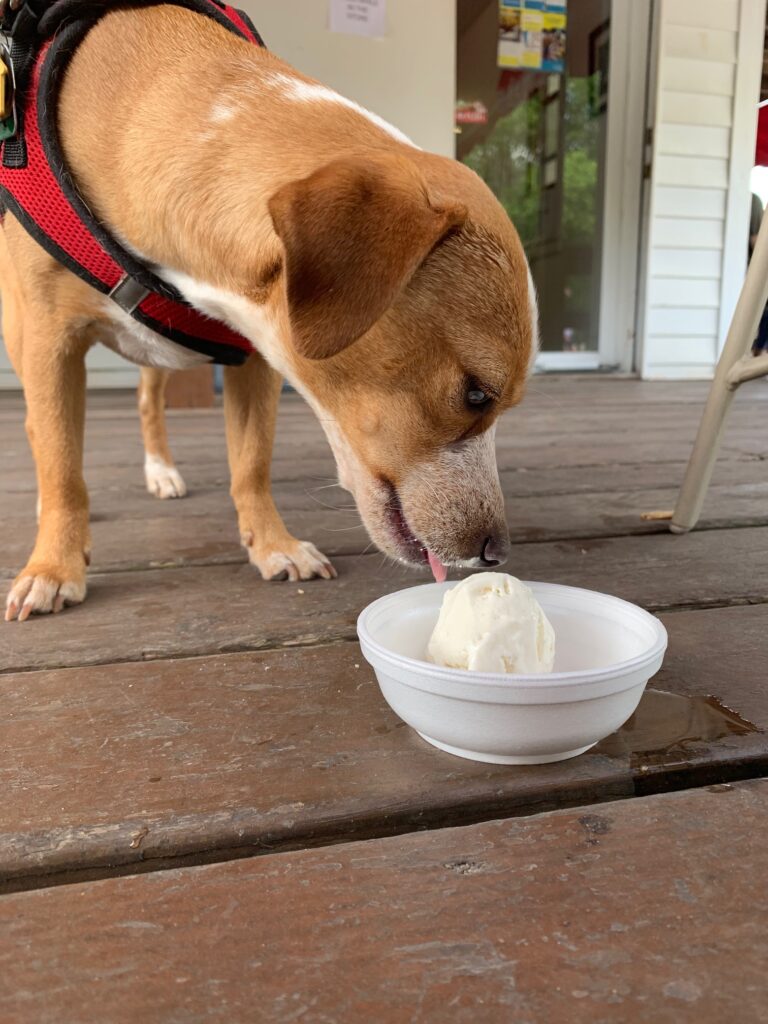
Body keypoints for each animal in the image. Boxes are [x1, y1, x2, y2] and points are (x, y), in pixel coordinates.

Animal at [3, 2, 536, 622]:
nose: (496, 550)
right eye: (476, 394)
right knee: (44, 430)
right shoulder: (50, 339)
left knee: (147, 400)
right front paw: (53, 568)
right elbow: (63, 467)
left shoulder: (255, 356)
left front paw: (273, 546)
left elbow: (252, 460)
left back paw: (161, 470)